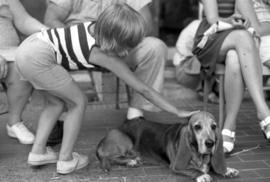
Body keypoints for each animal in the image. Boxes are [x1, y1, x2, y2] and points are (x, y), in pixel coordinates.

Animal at [96, 111, 239, 182]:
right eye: (197, 127)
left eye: (214, 126)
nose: (210, 143)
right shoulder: (175, 166)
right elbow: (193, 169)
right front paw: (202, 175)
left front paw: (227, 170)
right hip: (125, 141)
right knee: (108, 157)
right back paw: (128, 161)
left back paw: (132, 160)